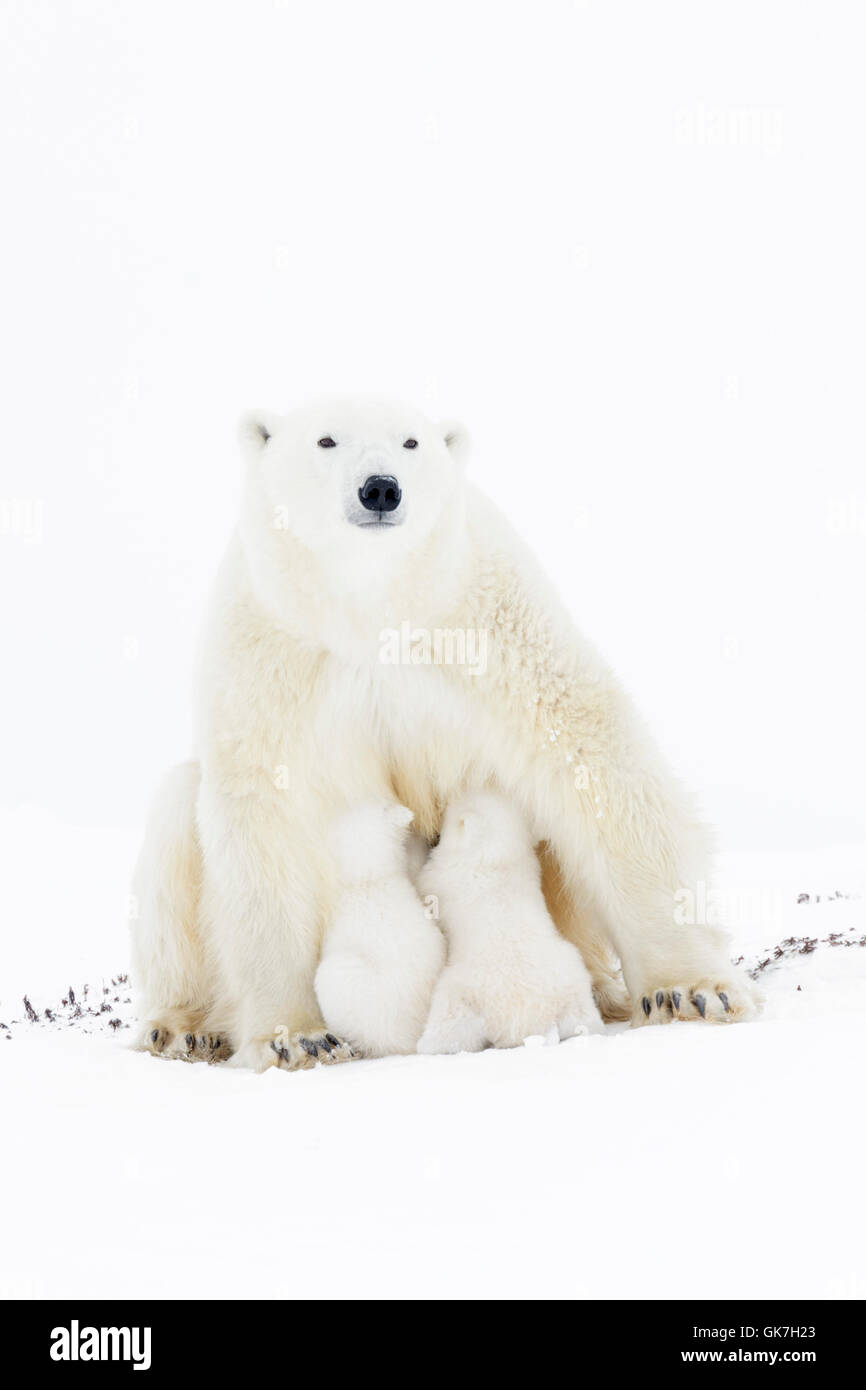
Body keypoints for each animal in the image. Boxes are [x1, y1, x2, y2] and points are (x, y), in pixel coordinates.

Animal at [419, 789, 603, 1045]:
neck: (495, 860)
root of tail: (522, 1022)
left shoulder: (442, 877)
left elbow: (426, 881)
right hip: (571, 982)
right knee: (582, 1014)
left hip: (462, 992)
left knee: (449, 1021)